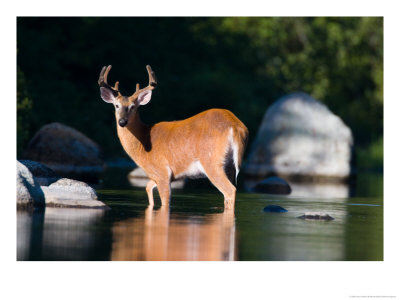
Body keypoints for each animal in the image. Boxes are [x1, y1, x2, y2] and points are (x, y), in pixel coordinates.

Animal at [99, 64, 248, 209]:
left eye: (133, 107)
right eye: (116, 105)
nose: (122, 121)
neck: (143, 143)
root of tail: (235, 126)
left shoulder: (162, 172)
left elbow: (165, 202)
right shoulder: (157, 176)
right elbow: (148, 188)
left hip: (212, 162)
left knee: (230, 191)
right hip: (230, 166)